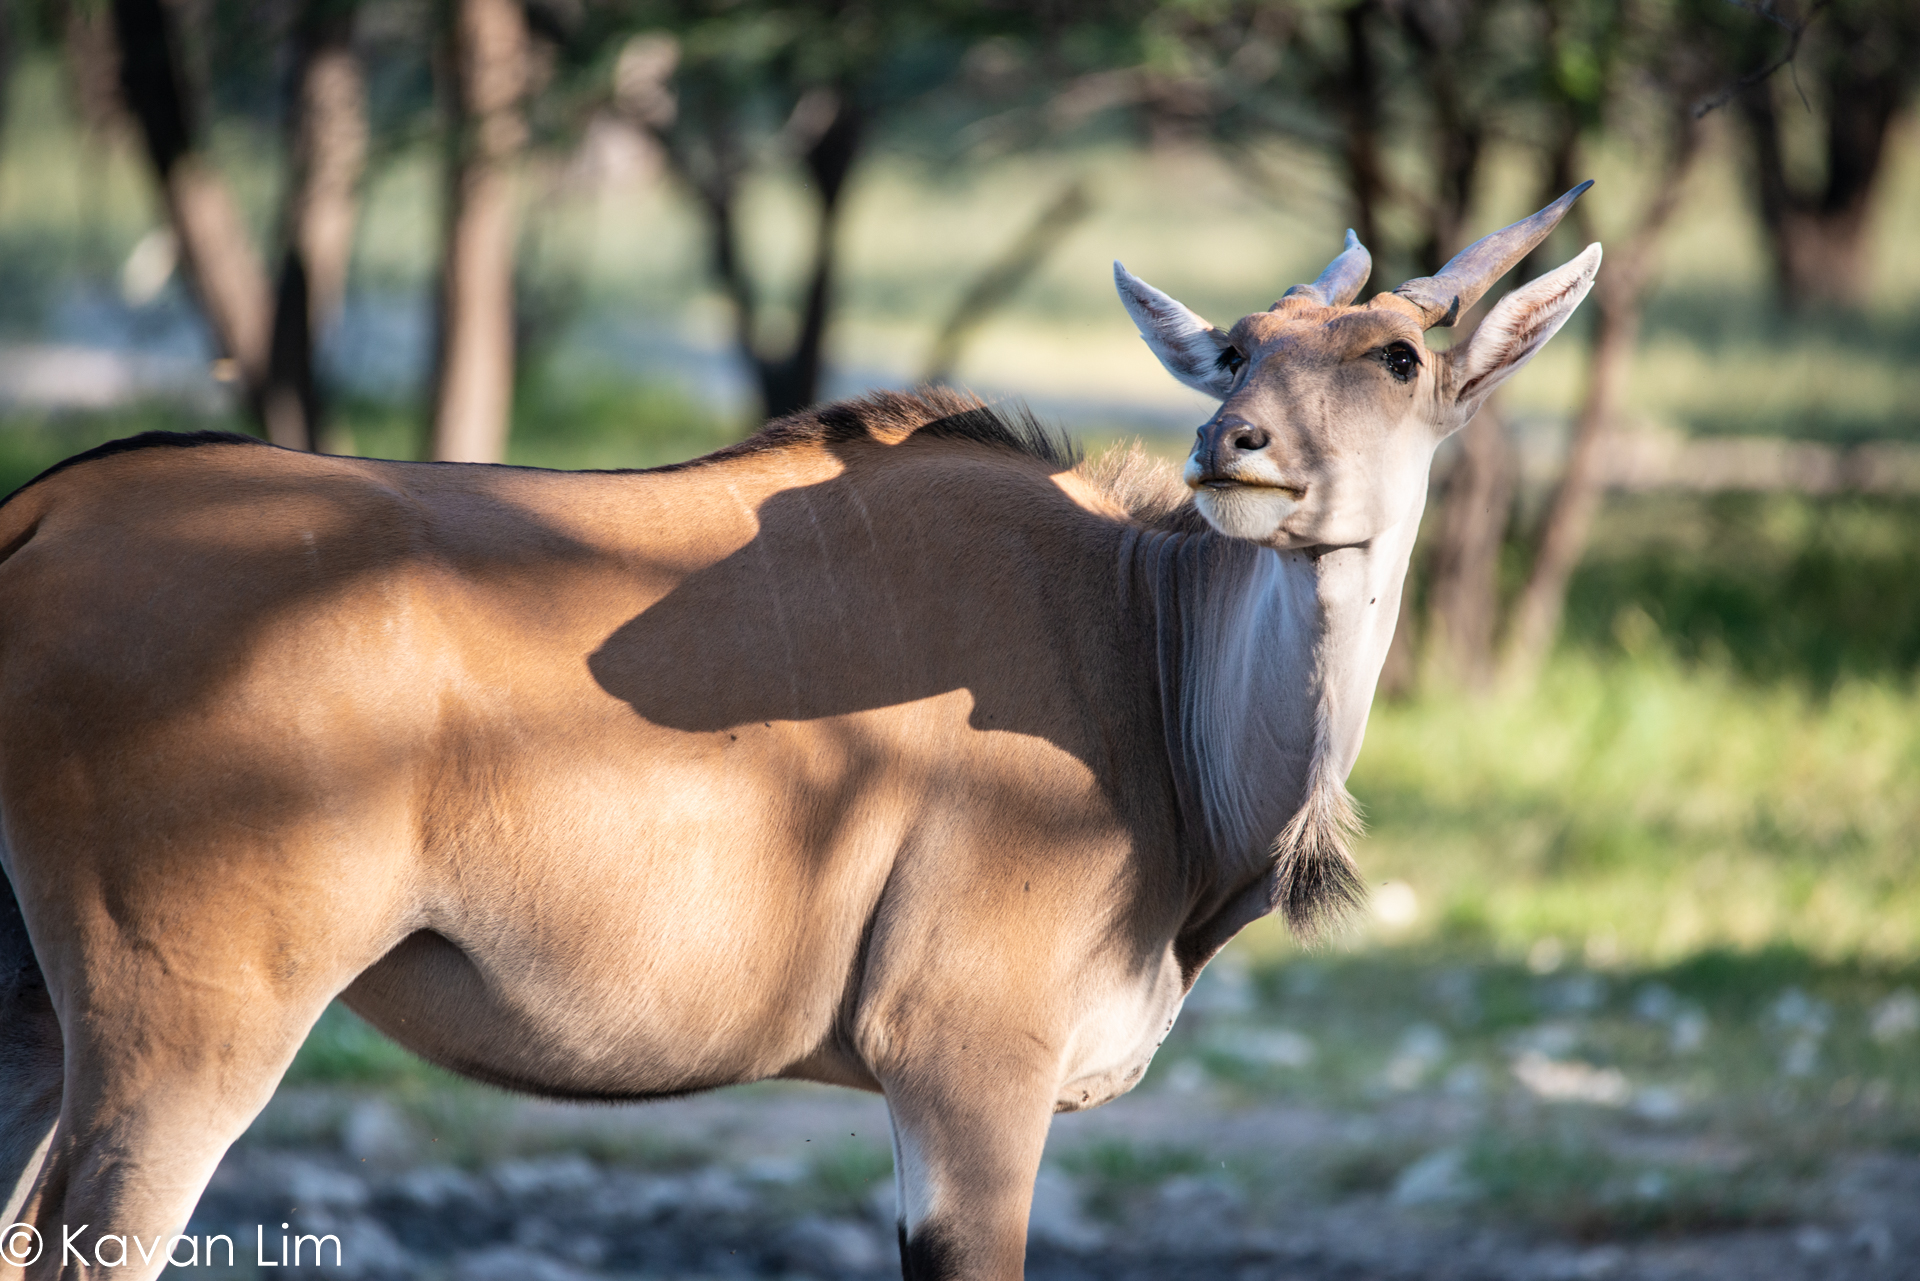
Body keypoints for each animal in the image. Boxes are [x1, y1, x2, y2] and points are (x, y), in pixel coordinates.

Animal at [0, 185, 1597, 1280]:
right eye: (1241, 350)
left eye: (1397, 358)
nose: (1233, 447)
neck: (1143, 644)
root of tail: (41, 514)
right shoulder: (967, 1068)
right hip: (186, 1034)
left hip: (37, 1024)